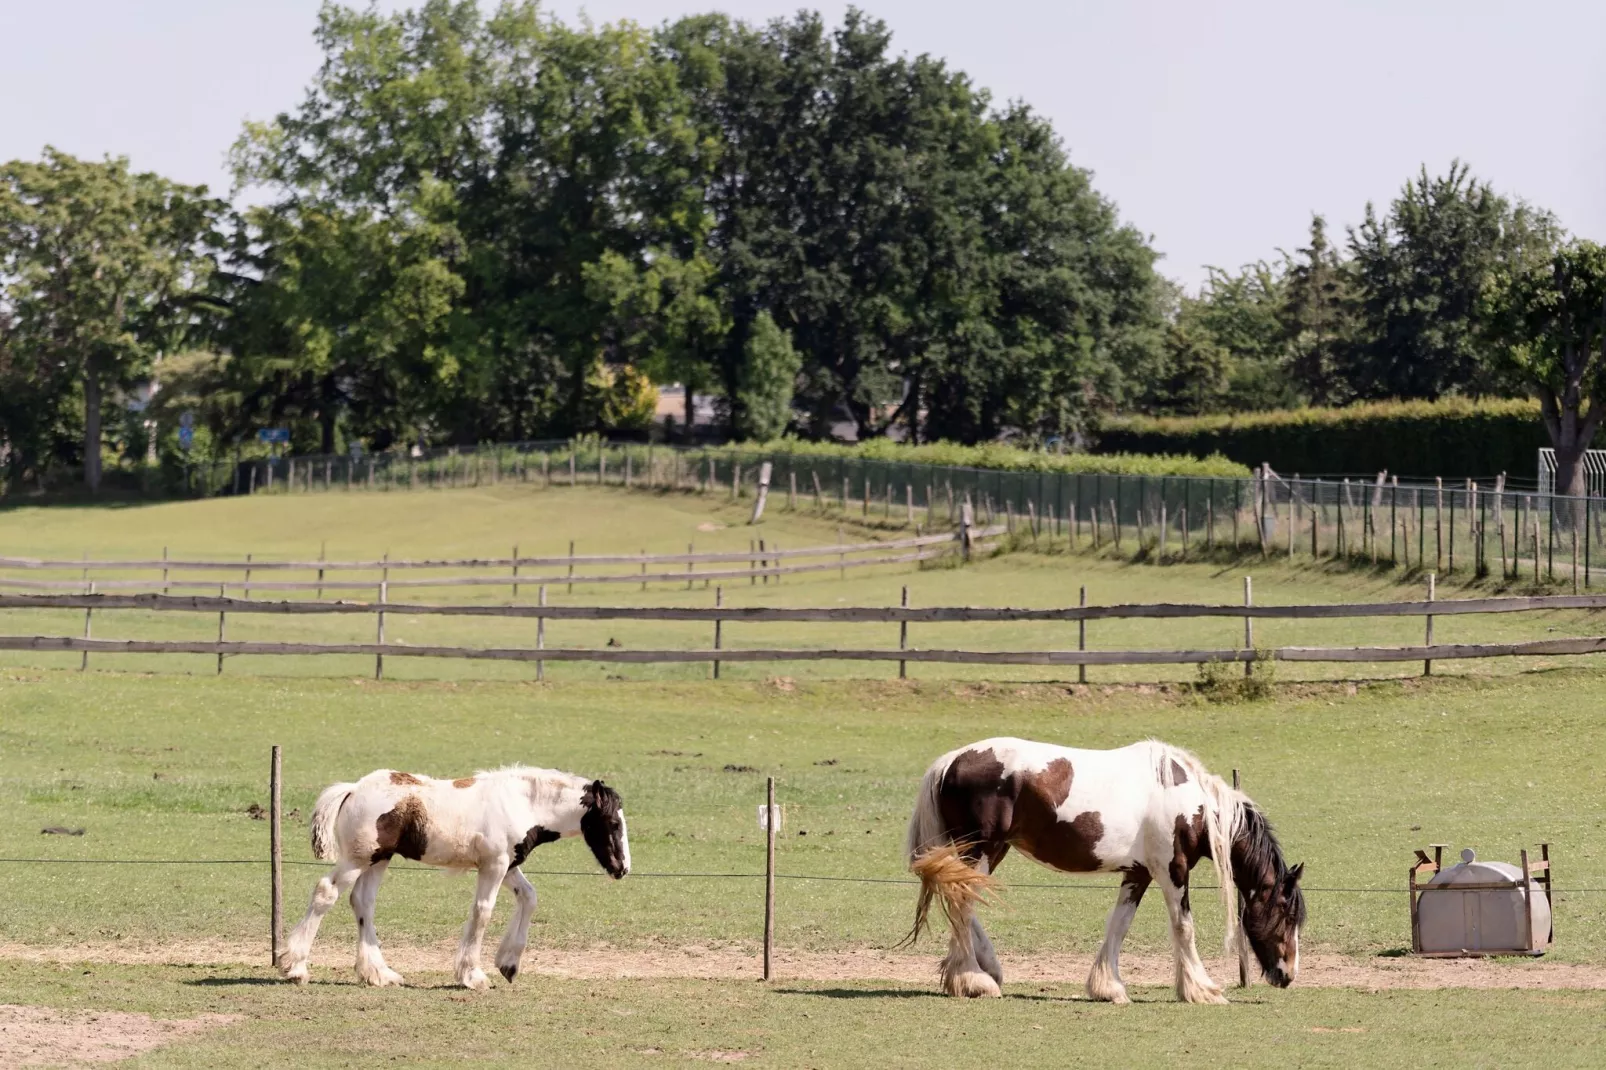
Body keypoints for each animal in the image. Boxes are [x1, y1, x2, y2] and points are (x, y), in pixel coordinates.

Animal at [276, 761, 626, 989]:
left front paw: (509, 964)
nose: (622, 868)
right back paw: (294, 967)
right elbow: (483, 912)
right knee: (326, 892)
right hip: (357, 859)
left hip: (378, 860)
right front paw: (473, 976)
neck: (522, 803)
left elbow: (529, 898)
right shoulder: (494, 866)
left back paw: (379, 974)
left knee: (362, 902)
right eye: (613, 823)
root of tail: (352, 789)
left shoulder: (507, 866)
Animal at [905, 732, 1304, 1002]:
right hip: (982, 850)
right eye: (1287, 914)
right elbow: (1183, 927)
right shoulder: (1173, 871)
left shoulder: (1138, 873)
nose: (1288, 974)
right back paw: (974, 979)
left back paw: (986, 968)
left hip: (985, 852)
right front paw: (1202, 990)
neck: (1193, 804)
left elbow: (1119, 924)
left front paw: (1108, 987)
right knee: (962, 903)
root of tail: (951, 760)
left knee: (963, 903)